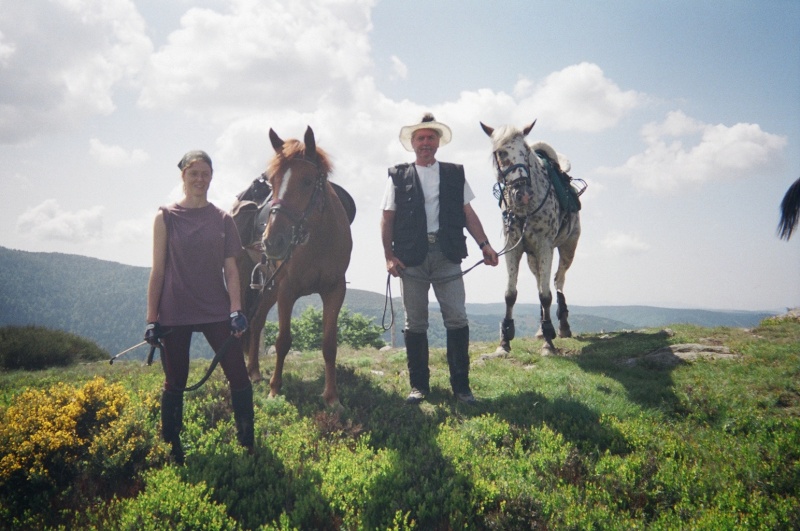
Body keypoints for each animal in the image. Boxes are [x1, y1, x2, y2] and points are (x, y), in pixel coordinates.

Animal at [236, 125, 352, 408]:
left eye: (308, 181)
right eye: (274, 181)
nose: (272, 241)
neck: (319, 240)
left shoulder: (334, 291)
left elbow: (329, 344)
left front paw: (332, 397)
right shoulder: (287, 290)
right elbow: (283, 341)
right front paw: (275, 389)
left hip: (269, 288)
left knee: (256, 322)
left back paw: (255, 371)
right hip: (252, 283)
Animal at [482, 120, 580, 354]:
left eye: (525, 151)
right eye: (500, 152)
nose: (523, 193)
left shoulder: (545, 247)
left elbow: (546, 295)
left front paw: (549, 344)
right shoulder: (513, 248)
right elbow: (510, 294)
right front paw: (505, 340)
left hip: (568, 249)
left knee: (558, 280)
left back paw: (562, 327)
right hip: (532, 258)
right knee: (540, 282)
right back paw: (541, 329)